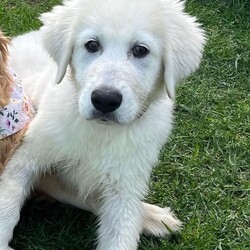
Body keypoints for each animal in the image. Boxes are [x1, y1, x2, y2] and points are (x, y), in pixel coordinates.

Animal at [0, 0, 205, 249]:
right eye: (92, 45)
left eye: (141, 50)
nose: (105, 100)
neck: (101, 131)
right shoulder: (27, 156)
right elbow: (7, 203)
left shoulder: (124, 186)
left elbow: (121, 229)